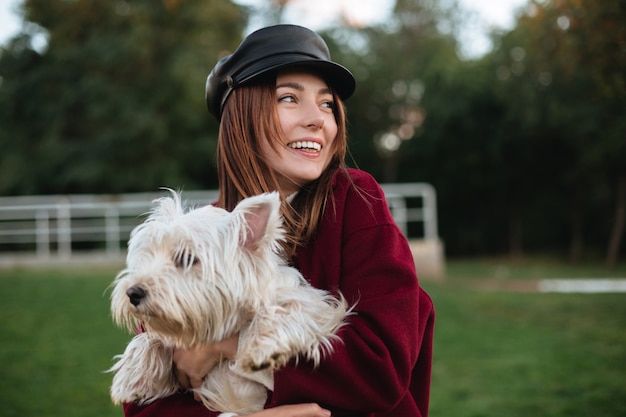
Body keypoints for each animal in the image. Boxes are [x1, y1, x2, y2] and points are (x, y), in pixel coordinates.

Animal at [109, 190, 348, 414]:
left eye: (186, 258)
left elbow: (289, 307)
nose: (133, 293)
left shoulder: (320, 308)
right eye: (150, 254)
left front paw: (261, 349)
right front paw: (130, 379)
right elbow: (150, 338)